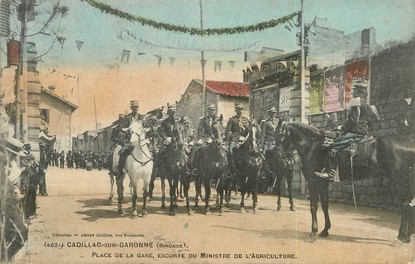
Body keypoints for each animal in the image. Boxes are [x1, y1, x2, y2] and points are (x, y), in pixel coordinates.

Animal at [282, 121, 414, 243]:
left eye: (281, 134)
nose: (285, 159)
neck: (313, 147)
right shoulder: (323, 182)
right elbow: (324, 205)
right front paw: (325, 230)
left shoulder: (313, 182)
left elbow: (313, 206)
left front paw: (313, 233)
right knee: (410, 205)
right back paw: (407, 236)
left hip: (400, 182)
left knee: (405, 205)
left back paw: (401, 237)